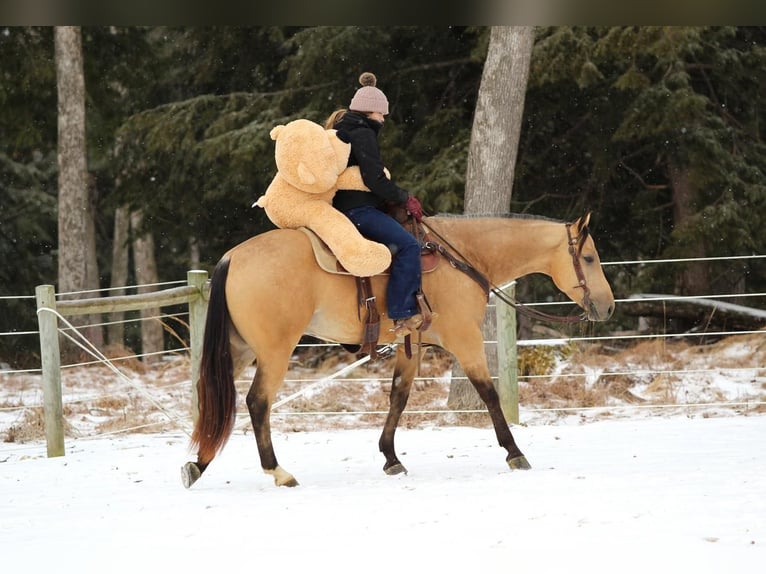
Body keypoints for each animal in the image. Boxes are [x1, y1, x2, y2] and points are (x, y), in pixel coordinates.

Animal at [184, 213, 616, 490]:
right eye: (590, 257)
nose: (609, 307)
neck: (463, 258)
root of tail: (232, 257)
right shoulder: (465, 340)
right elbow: (489, 393)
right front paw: (514, 453)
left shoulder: (413, 347)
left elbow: (398, 397)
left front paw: (391, 458)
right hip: (275, 351)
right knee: (257, 402)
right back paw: (278, 471)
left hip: (239, 350)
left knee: (214, 401)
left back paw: (197, 464)